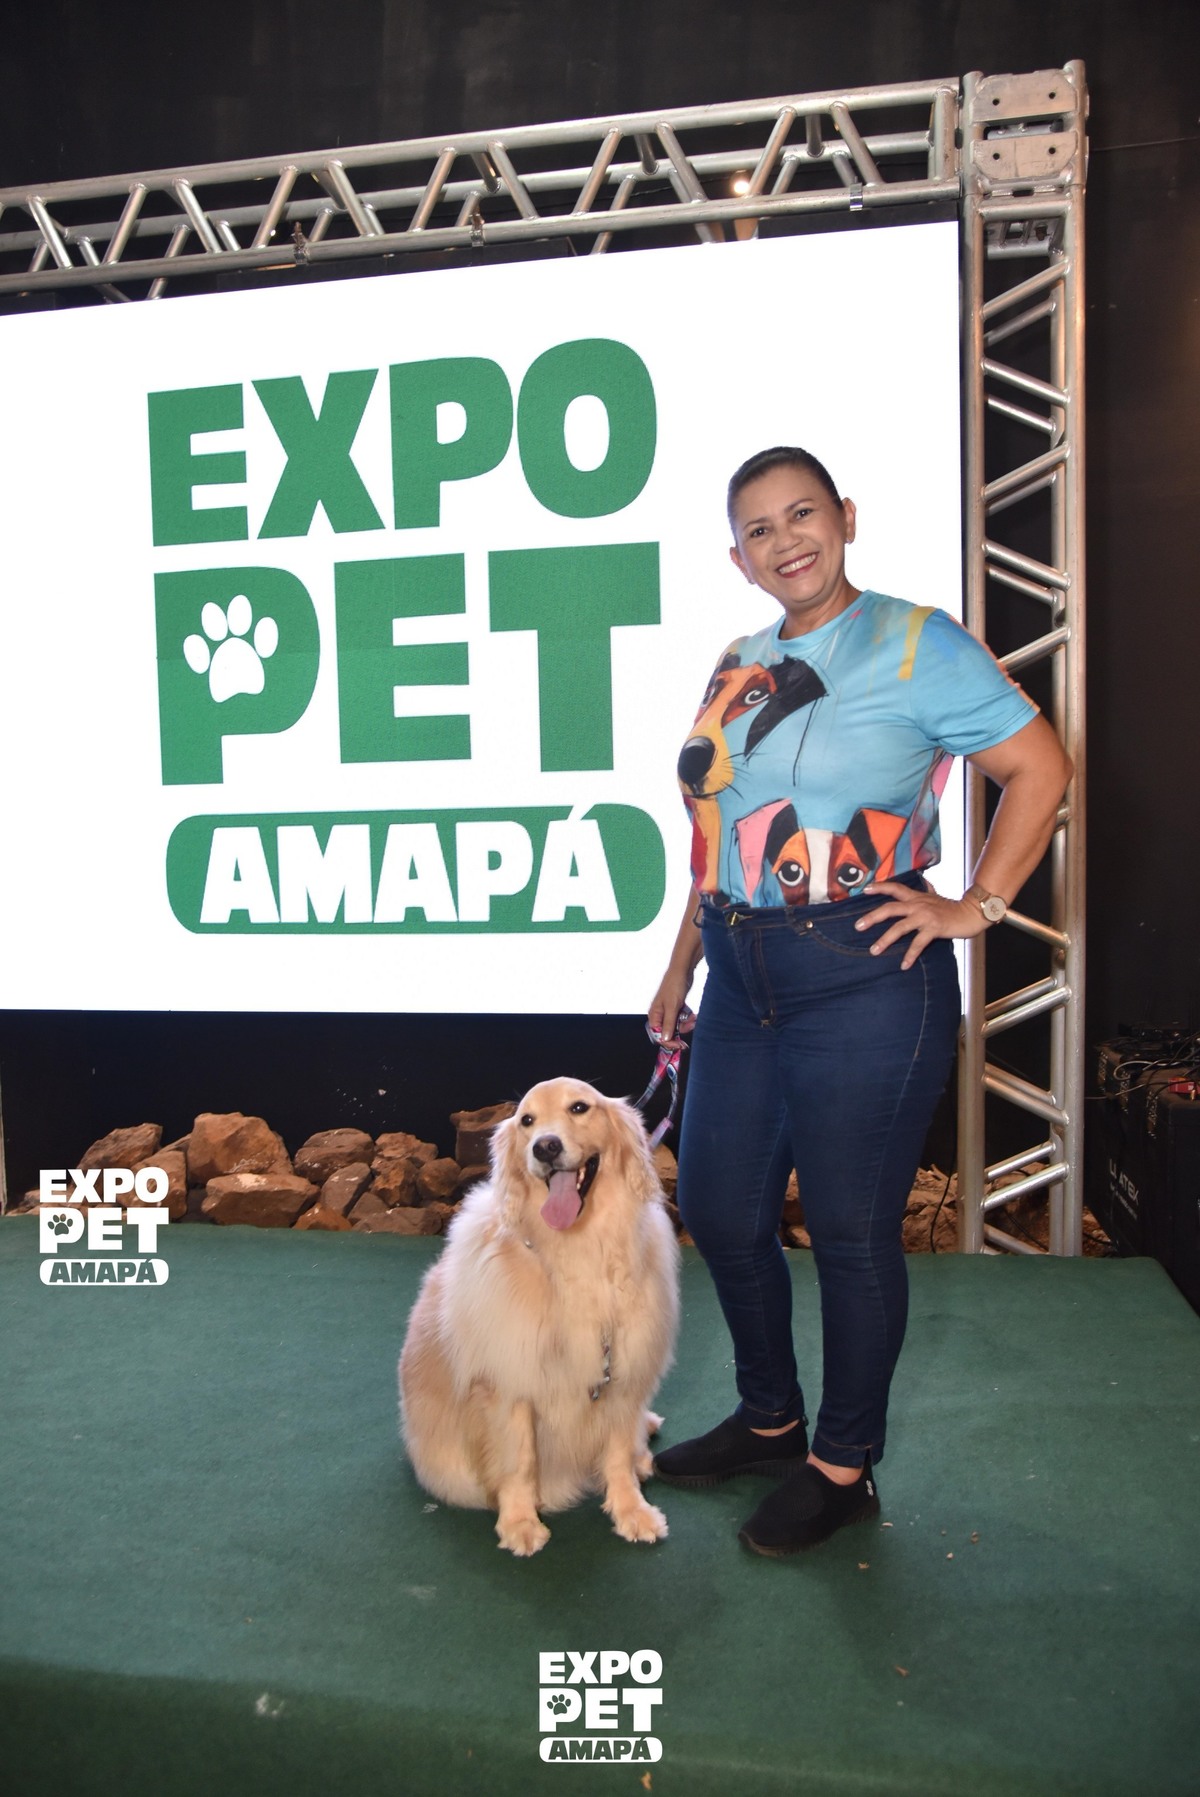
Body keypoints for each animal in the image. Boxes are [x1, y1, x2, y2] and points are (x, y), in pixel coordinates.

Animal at [398, 1078, 680, 1556]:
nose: (545, 1147)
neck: (575, 1248)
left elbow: (618, 1454)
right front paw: (520, 1523)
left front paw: (632, 1512)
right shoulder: (508, 1387)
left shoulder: (623, 1379)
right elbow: (519, 1461)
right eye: (527, 1120)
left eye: (579, 1108)